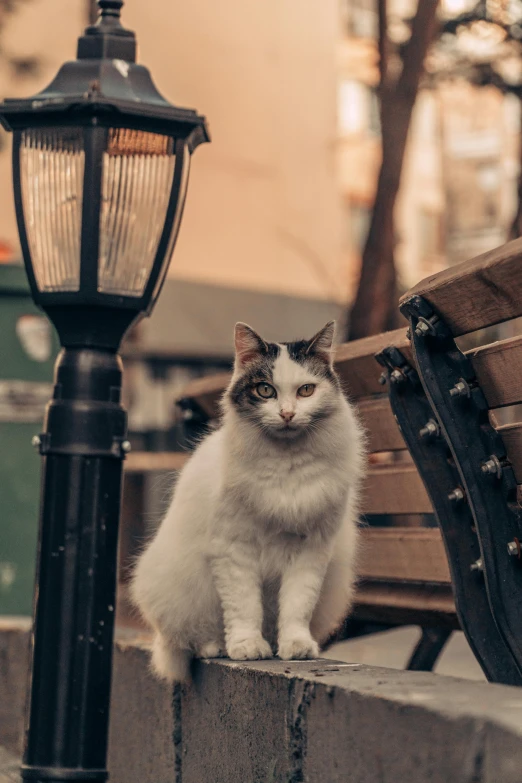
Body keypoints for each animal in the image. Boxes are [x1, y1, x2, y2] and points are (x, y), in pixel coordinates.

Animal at [131, 322, 366, 684]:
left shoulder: (310, 550)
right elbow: (244, 607)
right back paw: (217, 647)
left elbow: (297, 605)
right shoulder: (233, 549)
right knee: (193, 638)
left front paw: (295, 647)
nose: (287, 414)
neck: (286, 463)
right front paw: (247, 647)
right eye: (265, 391)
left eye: (306, 391)